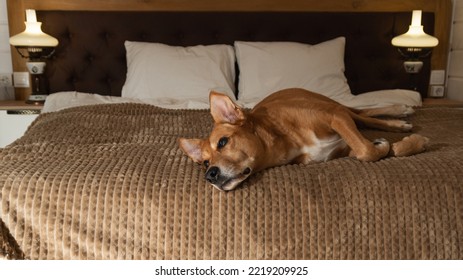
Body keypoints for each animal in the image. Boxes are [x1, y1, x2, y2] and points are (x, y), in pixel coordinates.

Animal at [179, 88, 430, 191]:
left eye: (222, 142)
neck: (287, 140)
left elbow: (366, 150)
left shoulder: (336, 116)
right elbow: (367, 149)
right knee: (364, 117)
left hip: (336, 106)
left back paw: (399, 115)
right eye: (205, 162)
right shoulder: (341, 149)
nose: (210, 175)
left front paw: (410, 140)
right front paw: (390, 144)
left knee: (364, 113)